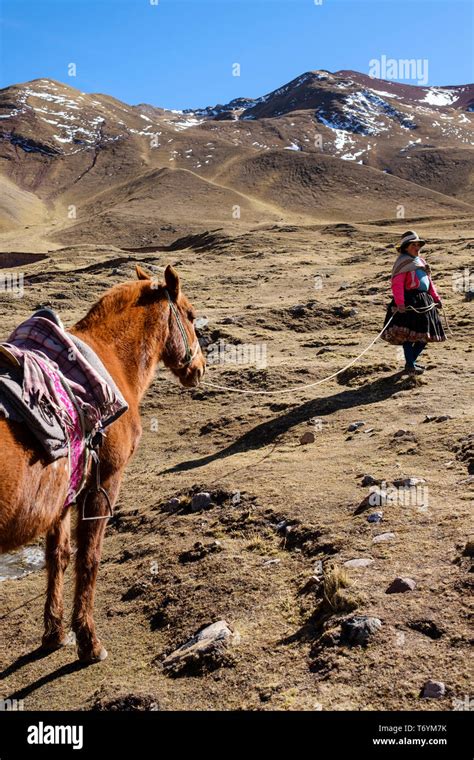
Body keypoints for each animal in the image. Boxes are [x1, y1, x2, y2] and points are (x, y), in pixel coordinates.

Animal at [0, 264, 205, 662]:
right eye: (190, 316)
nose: (200, 368)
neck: (112, 360)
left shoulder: (63, 493)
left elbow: (58, 556)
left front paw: (53, 633)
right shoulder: (104, 481)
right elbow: (89, 558)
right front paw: (88, 641)